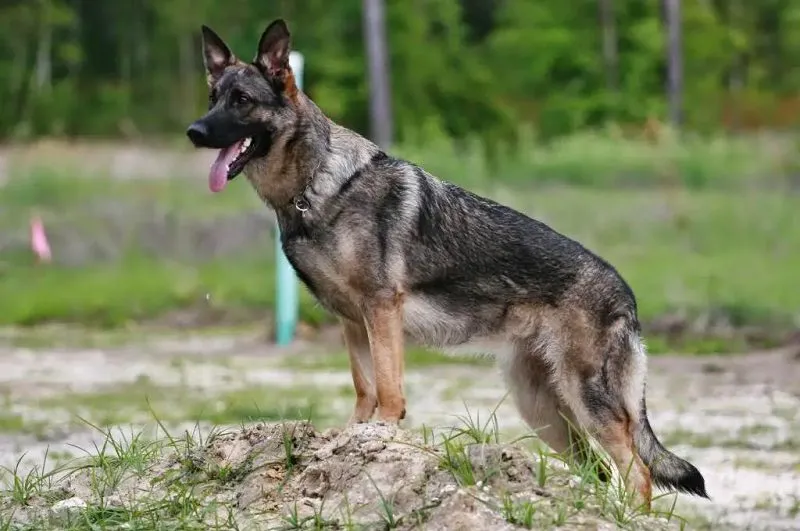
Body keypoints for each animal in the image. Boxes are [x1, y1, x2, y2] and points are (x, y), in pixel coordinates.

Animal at [186, 18, 708, 510]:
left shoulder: (381, 310)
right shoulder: (353, 322)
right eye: (213, 98)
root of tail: (626, 293)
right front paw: (352, 437)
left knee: (638, 474)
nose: (194, 132)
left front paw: (381, 433)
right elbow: (363, 388)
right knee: (599, 471)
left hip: (587, 402)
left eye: (241, 100)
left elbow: (389, 392)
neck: (316, 184)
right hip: (544, 412)